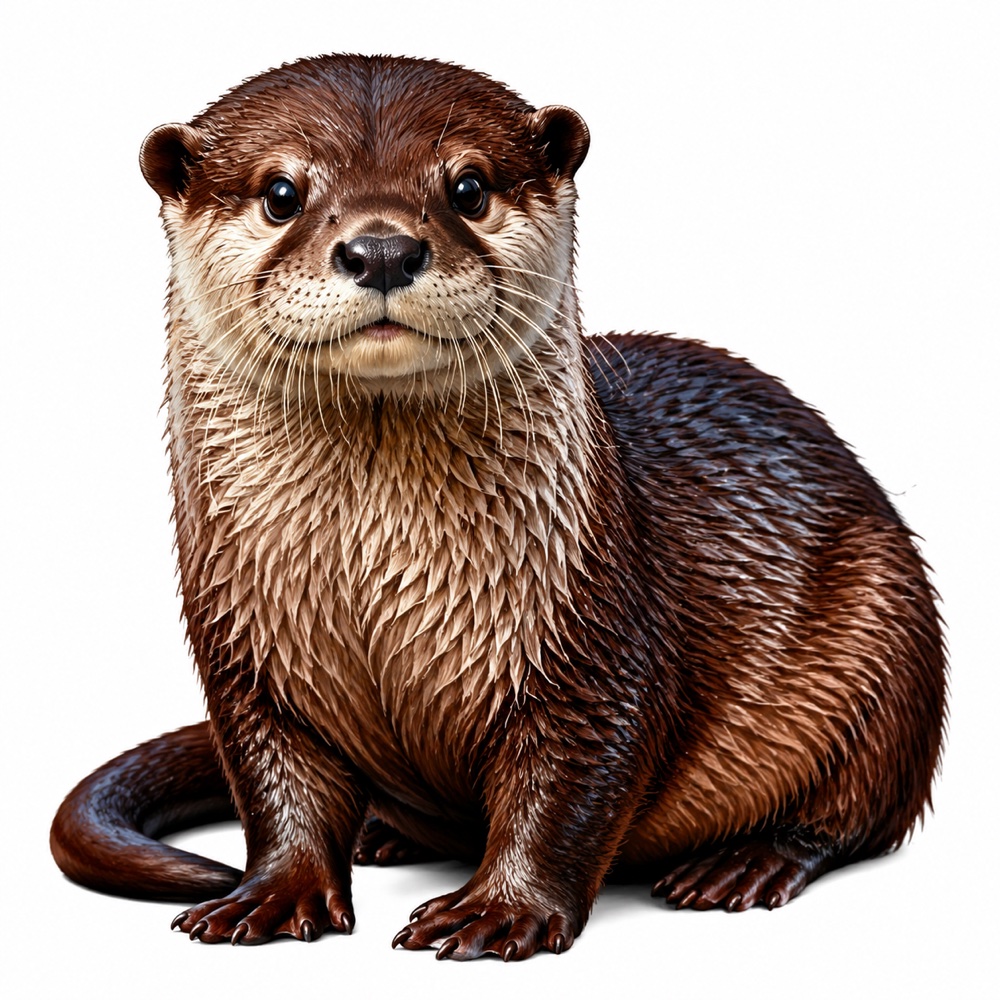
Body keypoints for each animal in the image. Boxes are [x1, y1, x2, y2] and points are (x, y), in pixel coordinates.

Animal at [50, 53, 946, 961]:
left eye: (469, 187)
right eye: (280, 192)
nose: (382, 248)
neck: (370, 590)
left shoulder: (595, 641)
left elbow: (567, 789)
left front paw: (499, 911)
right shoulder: (246, 657)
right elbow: (276, 782)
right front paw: (271, 893)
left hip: (890, 643)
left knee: (856, 812)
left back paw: (746, 864)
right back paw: (384, 834)